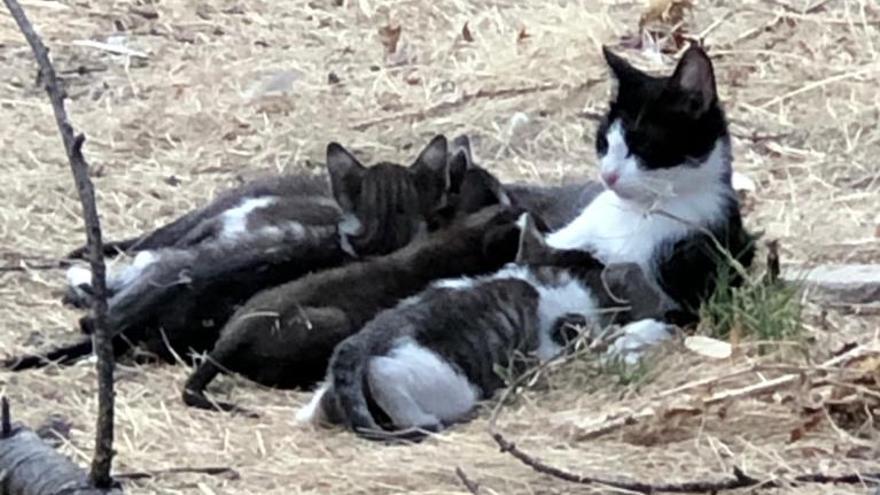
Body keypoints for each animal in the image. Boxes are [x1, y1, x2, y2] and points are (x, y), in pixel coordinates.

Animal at [298, 215, 668, 440]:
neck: (543, 275)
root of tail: (360, 342)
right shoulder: (555, 354)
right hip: (446, 381)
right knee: (386, 375)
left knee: (322, 403)